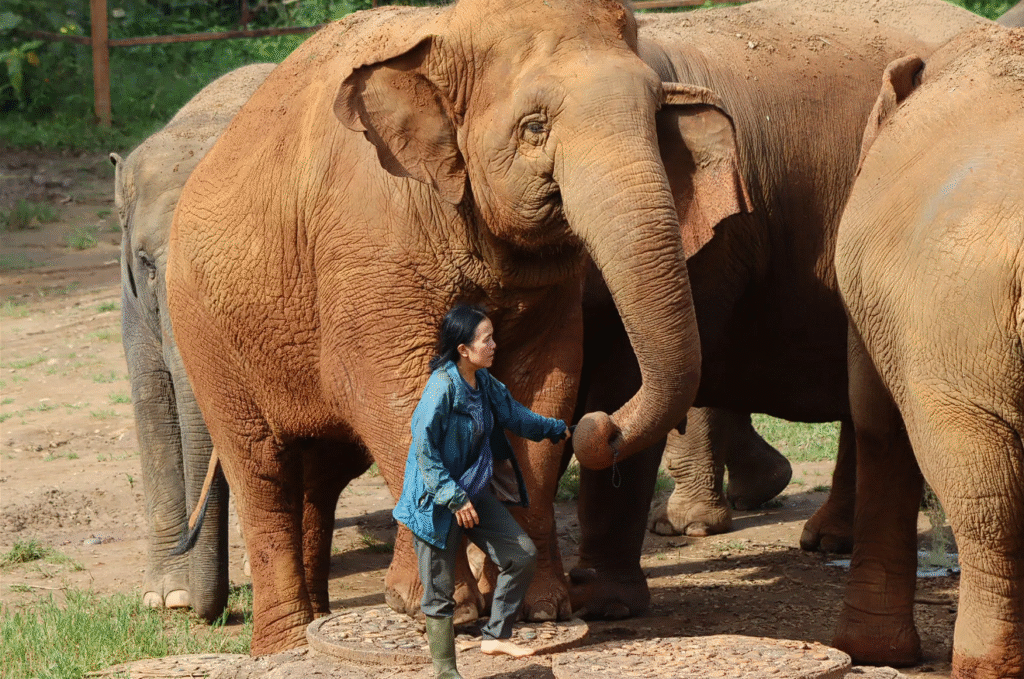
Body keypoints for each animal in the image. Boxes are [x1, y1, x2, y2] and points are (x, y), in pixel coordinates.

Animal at [164, 0, 734, 655]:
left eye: (655, 116)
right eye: (534, 127)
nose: (602, 425)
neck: (444, 37)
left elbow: (543, 384)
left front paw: (540, 608)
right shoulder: (368, 239)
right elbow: (388, 390)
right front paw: (434, 610)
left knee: (318, 477)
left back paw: (313, 623)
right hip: (206, 339)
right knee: (262, 471)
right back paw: (285, 645)